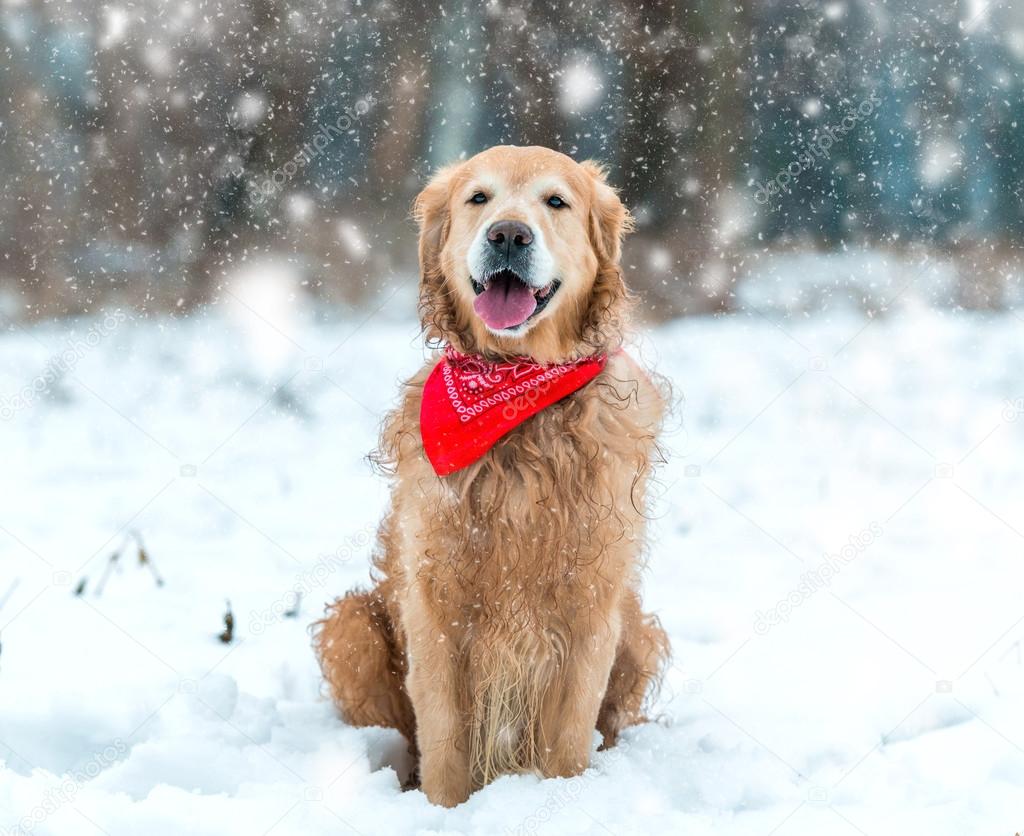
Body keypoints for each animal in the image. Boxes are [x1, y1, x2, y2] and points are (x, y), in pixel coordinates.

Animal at [319, 146, 671, 807]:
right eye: (477, 198)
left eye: (556, 201)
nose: (509, 234)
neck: (513, 396)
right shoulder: (435, 605)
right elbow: (444, 742)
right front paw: (443, 810)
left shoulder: (592, 605)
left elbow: (568, 740)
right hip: (349, 625)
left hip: (637, 628)